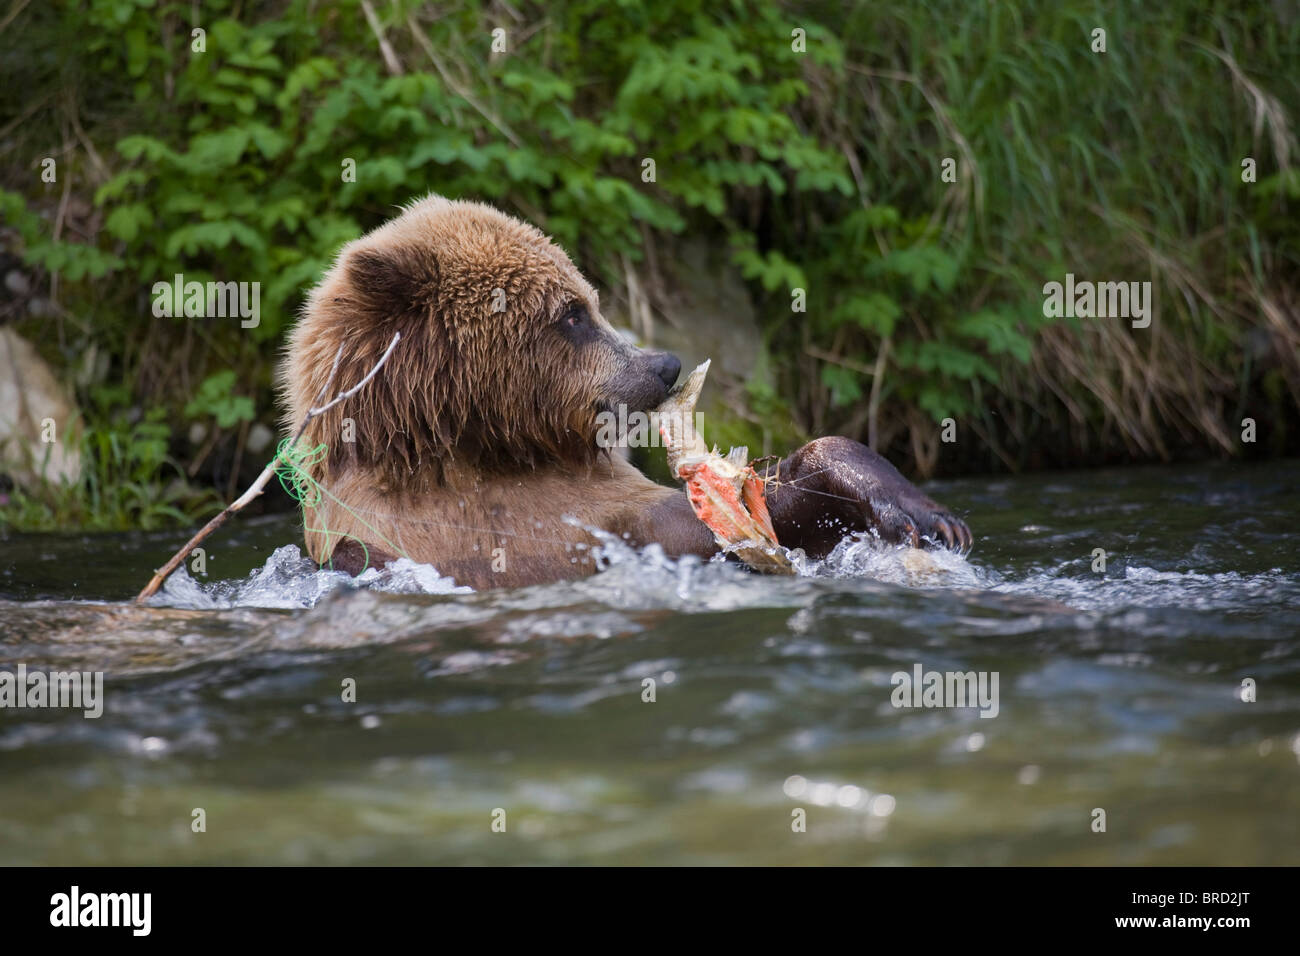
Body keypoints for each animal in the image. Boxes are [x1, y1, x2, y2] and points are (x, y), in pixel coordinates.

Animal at [279, 195, 972, 590]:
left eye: (589, 298)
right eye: (571, 315)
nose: (663, 363)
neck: (477, 448)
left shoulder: (599, 502)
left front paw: (924, 513)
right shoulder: (450, 532)